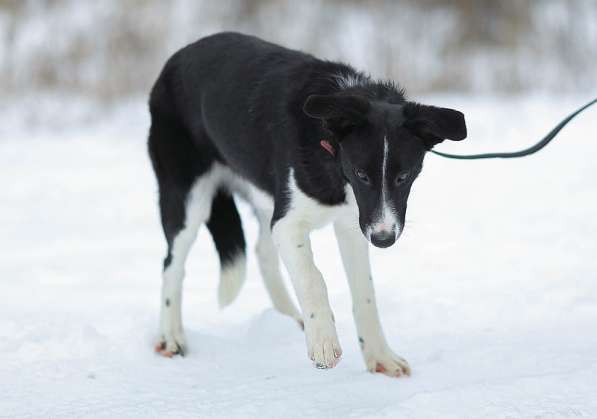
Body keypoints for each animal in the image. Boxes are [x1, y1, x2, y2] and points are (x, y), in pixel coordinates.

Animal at [149, 32, 466, 378]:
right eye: (361, 174)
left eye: (404, 176)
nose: (384, 240)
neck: (329, 148)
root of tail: (178, 56)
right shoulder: (291, 223)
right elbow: (312, 278)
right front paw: (323, 342)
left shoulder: (353, 224)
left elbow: (365, 294)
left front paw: (380, 356)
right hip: (186, 197)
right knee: (172, 264)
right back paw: (170, 337)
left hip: (265, 196)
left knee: (263, 253)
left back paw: (290, 319)